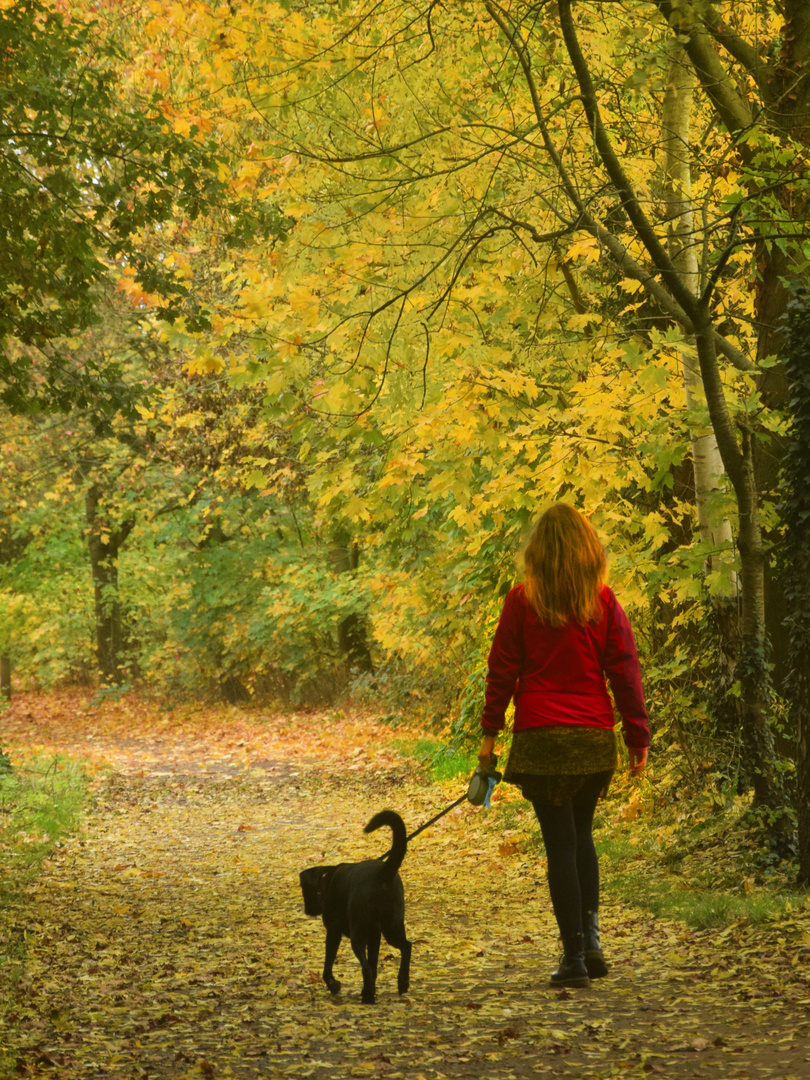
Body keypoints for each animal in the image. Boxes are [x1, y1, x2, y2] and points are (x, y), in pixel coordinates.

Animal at [298, 812, 412, 1002]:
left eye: (302, 888)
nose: (307, 910)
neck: (326, 879)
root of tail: (383, 873)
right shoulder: (374, 935)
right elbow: (374, 965)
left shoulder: (334, 931)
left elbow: (328, 963)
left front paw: (333, 984)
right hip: (392, 926)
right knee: (406, 947)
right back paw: (401, 982)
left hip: (358, 934)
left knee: (365, 966)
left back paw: (368, 997)